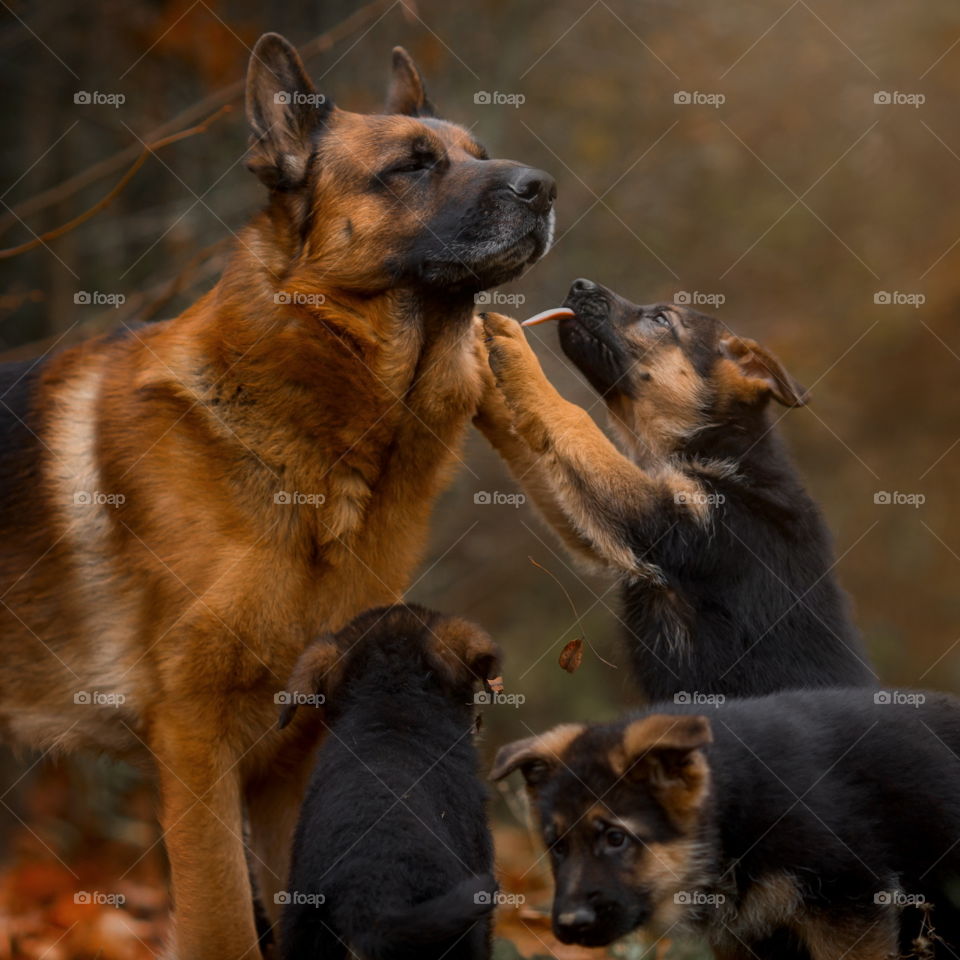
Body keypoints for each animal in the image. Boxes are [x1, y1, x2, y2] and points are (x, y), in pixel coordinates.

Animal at [484, 284, 872, 696]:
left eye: (661, 319)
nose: (579, 285)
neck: (717, 451)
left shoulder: (667, 519)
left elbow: (575, 417)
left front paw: (516, 349)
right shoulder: (606, 539)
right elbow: (534, 438)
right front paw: (480, 373)